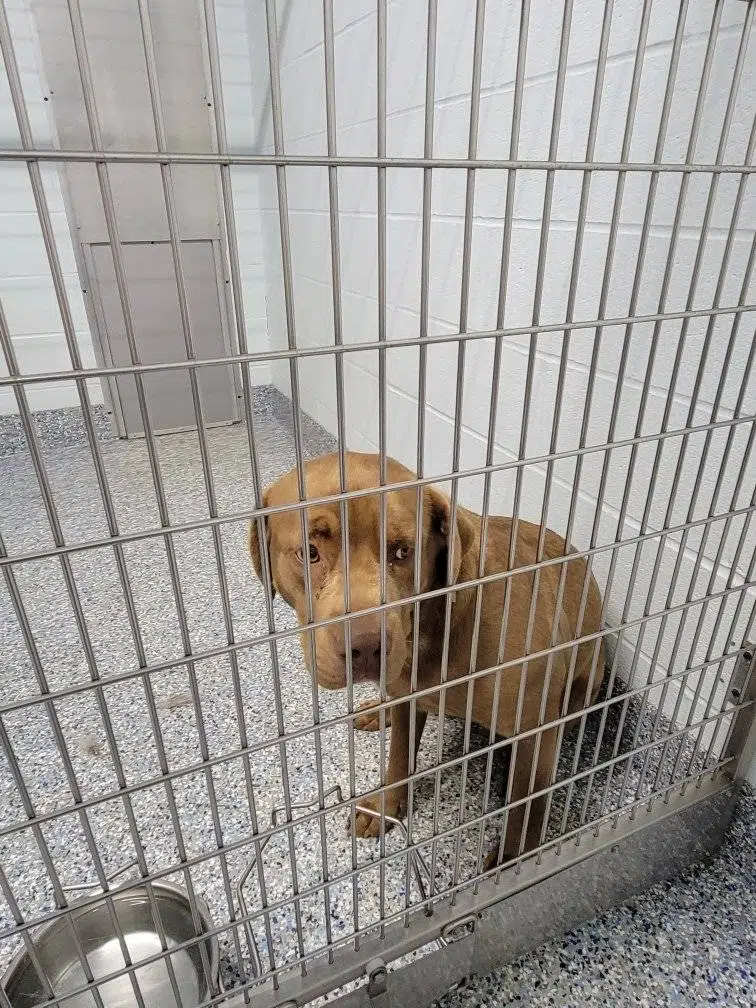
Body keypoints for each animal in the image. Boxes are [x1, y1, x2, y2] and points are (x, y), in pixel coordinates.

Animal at [248, 451, 605, 864]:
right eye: (309, 553)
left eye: (404, 551)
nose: (366, 647)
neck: (433, 627)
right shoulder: (408, 695)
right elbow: (399, 756)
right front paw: (385, 808)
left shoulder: (537, 726)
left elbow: (526, 806)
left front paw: (513, 860)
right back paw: (378, 711)